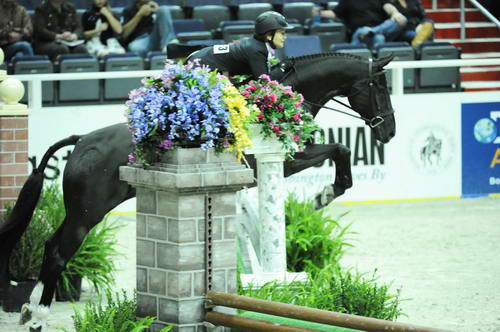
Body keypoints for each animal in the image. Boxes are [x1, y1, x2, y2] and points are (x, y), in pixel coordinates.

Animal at [0, 52, 394, 330]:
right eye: (380, 88)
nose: (388, 132)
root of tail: (82, 140)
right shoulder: (285, 159)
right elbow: (338, 149)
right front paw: (324, 195)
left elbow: (339, 151)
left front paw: (325, 194)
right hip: (88, 213)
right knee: (57, 254)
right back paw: (39, 316)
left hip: (80, 212)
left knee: (51, 246)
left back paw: (29, 309)